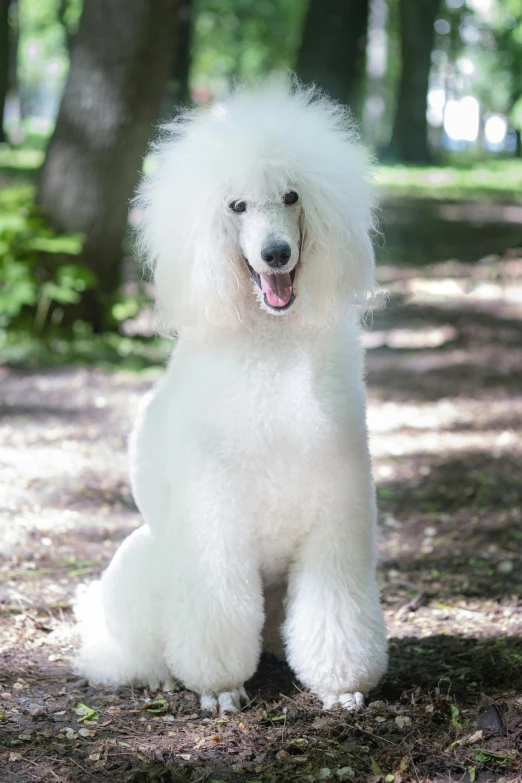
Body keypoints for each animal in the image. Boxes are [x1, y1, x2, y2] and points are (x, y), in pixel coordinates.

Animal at [75, 78, 388, 716]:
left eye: (292, 196)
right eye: (236, 206)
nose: (275, 255)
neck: (271, 345)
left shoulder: (338, 517)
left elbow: (336, 607)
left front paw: (340, 686)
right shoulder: (213, 519)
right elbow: (215, 608)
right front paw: (219, 688)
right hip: (143, 565)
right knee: (125, 650)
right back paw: (157, 675)